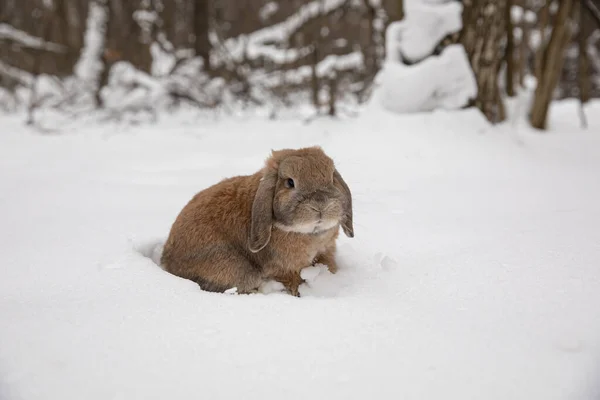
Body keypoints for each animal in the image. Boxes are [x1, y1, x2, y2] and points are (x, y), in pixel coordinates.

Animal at [162, 145, 354, 296]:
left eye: (331, 178)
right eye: (290, 183)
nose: (321, 205)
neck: (310, 234)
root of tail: (167, 261)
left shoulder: (325, 251)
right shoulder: (283, 268)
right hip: (238, 270)